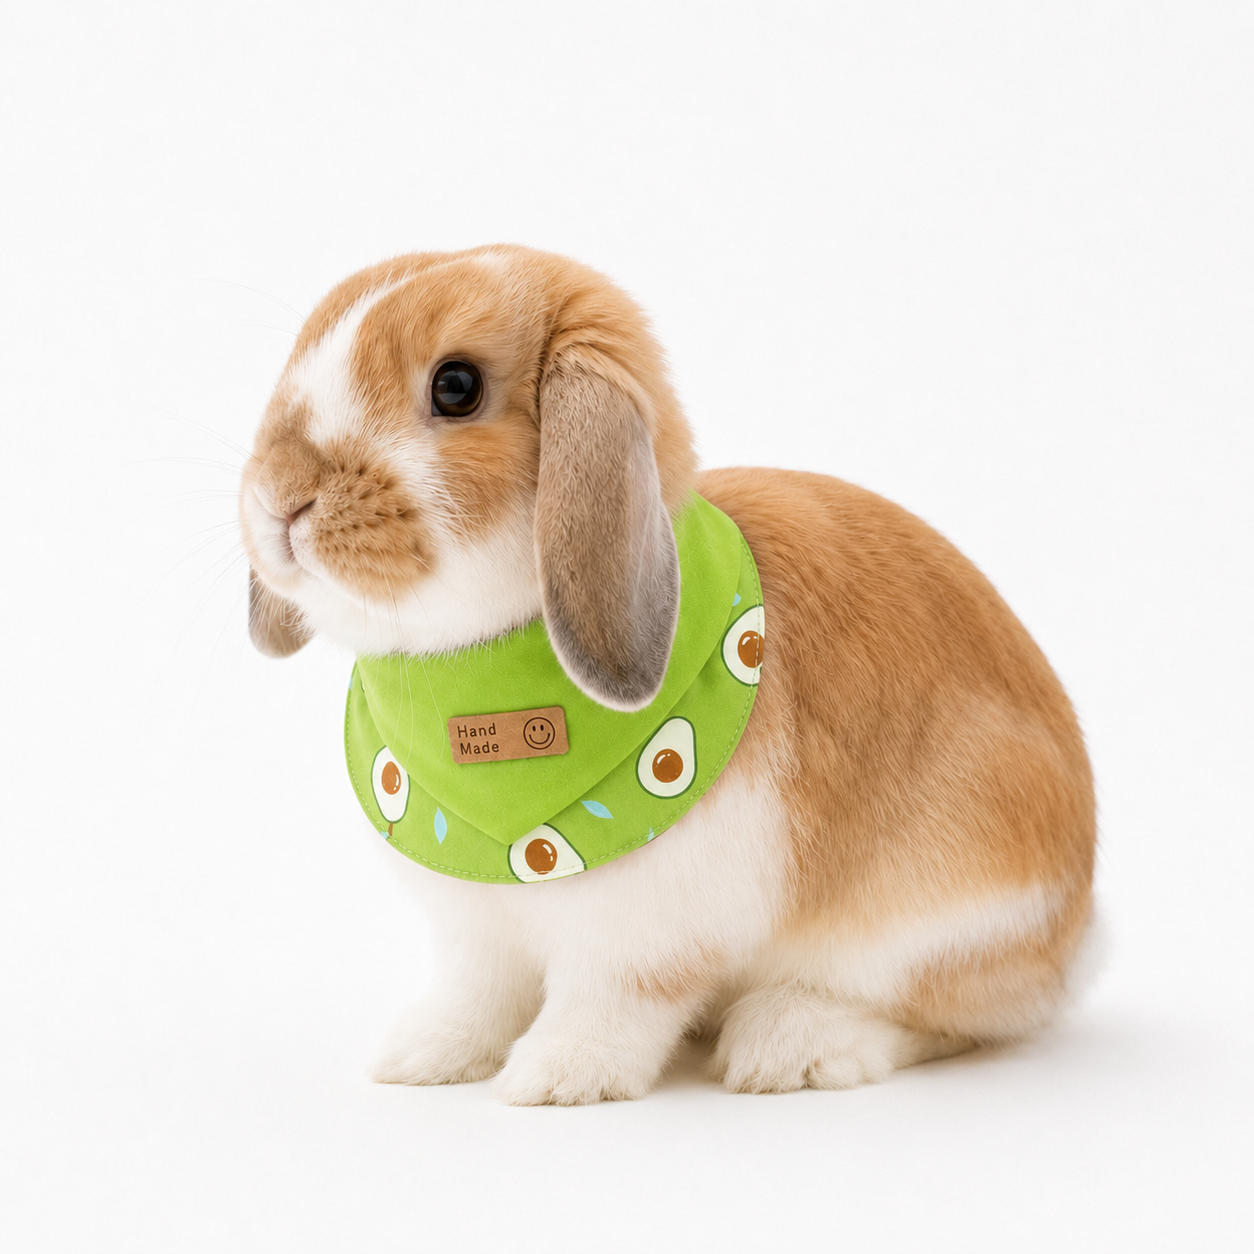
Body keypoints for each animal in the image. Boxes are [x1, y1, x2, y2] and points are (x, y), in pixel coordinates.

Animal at [239, 244, 1097, 1104]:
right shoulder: (475, 932)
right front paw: (422, 1058)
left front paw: (557, 1075)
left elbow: (613, 999)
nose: (281, 496)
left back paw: (793, 1043)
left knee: (955, 1017)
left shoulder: (644, 938)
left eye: (456, 386)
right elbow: (476, 996)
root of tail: (1078, 936)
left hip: (941, 915)